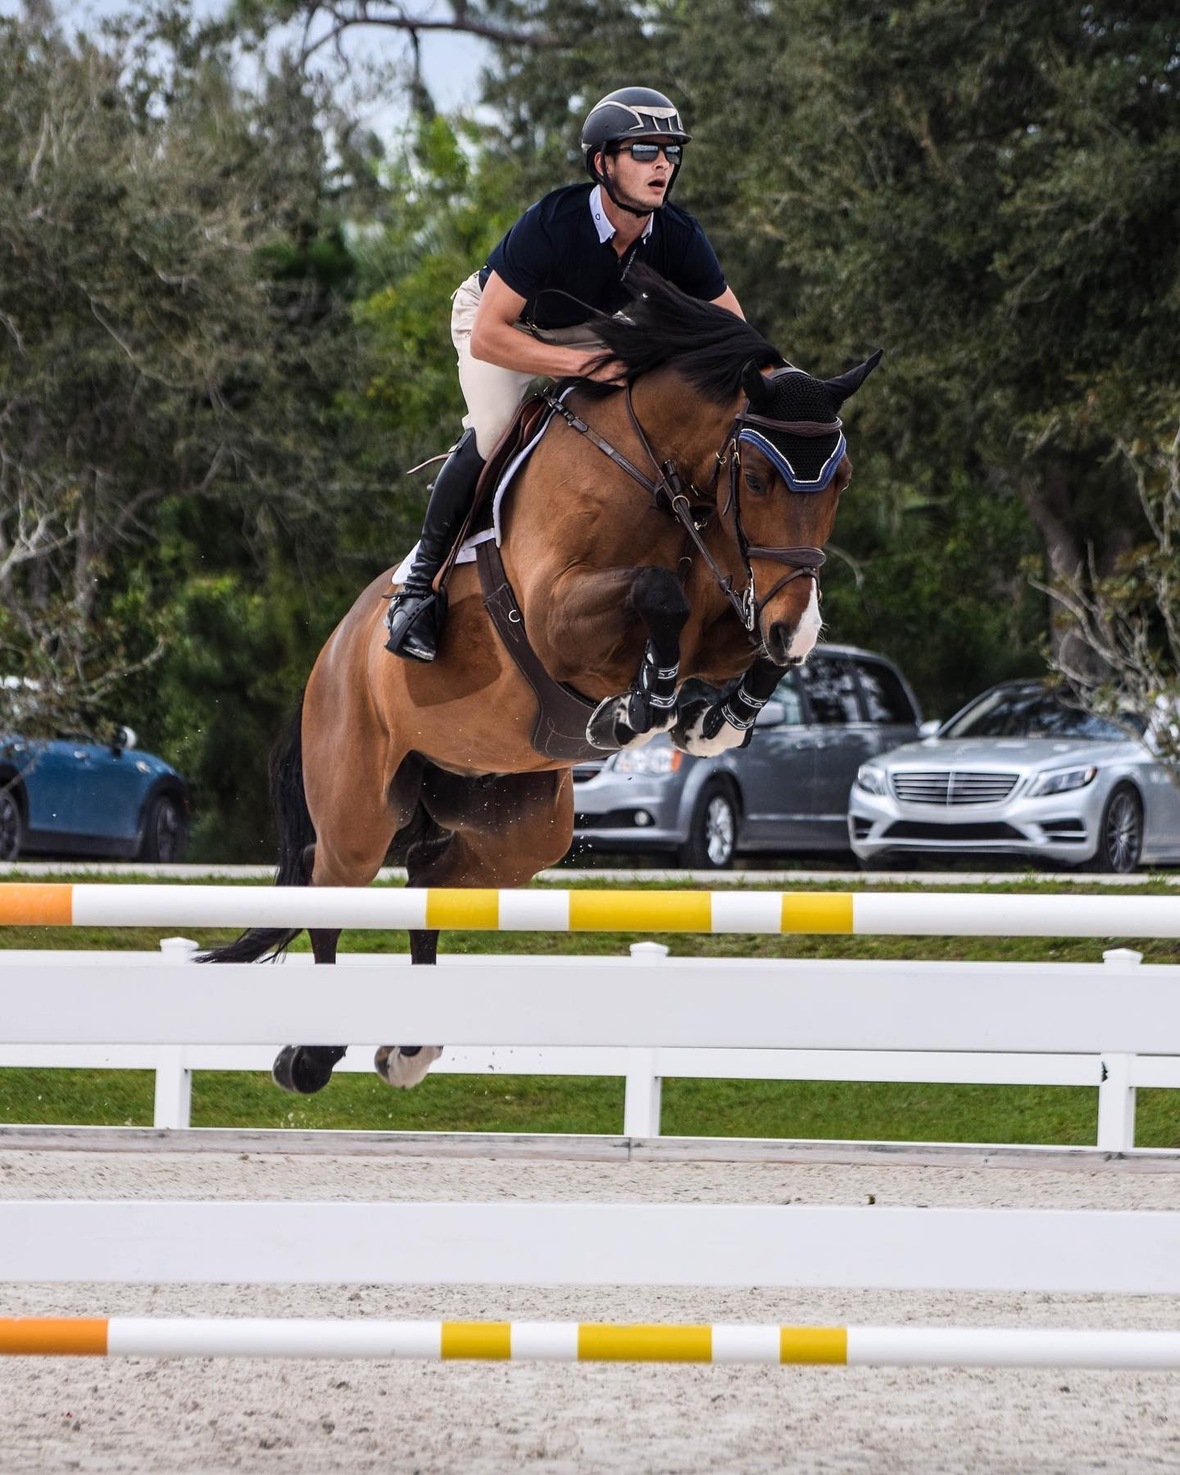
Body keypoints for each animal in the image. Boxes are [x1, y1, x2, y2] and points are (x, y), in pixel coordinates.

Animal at [203, 268, 879, 1097]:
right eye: (754, 477)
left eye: (840, 479)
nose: (791, 619)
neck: (662, 477)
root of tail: (327, 659)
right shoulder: (560, 616)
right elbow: (659, 592)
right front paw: (635, 710)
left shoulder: (731, 607)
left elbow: (750, 644)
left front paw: (709, 717)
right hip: (360, 804)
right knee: (331, 892)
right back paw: (311, 1054)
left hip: (515, 822)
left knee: (429, 875)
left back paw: (409, 1045)